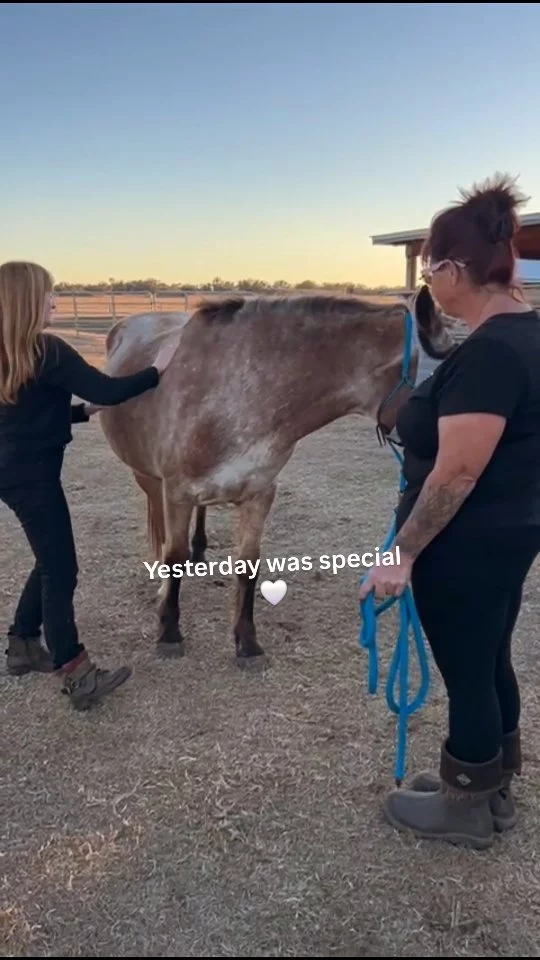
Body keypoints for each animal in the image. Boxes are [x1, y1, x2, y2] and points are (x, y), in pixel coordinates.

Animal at [98, 285, 456, 668]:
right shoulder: (176, 492)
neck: (238, 393)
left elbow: (248, 565)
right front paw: (168, 631)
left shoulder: (260, 494)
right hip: (147, 477)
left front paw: (247, 642)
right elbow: (173, 555)